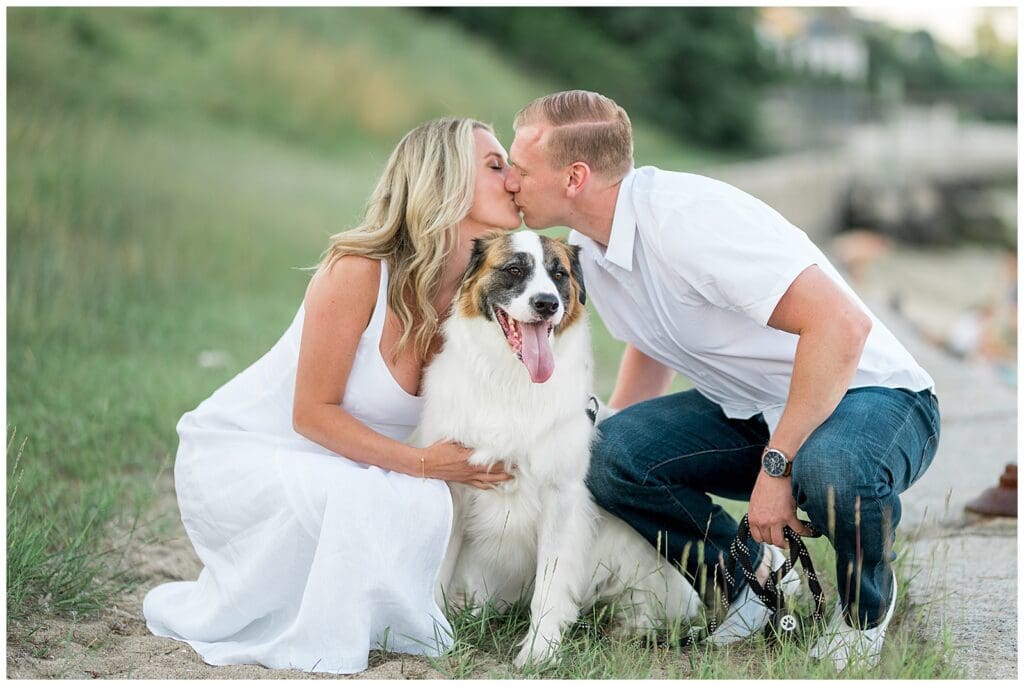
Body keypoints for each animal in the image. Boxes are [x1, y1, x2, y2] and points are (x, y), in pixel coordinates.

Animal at [415, 229, 704, 667]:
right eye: (514, 269)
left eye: (559, 274)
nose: (546, 304)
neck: (511, 382)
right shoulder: (458, 485)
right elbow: (438, 569)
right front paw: (434, 635)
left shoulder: (561, 497)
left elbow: (550, 587)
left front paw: (539, 652)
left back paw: (632, 626)